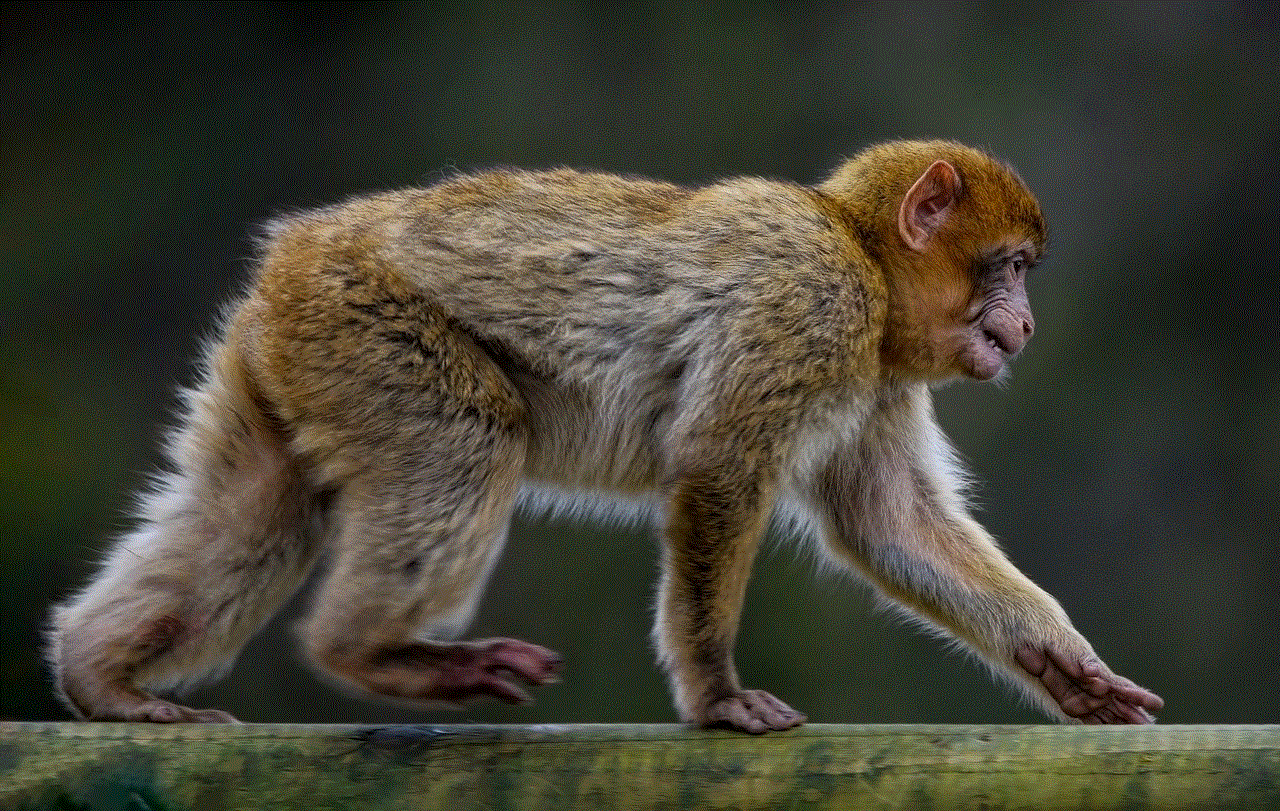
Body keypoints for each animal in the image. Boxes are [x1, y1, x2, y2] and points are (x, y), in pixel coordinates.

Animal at [45, 137, 1167, 726]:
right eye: (1008, 267)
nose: (1026, 321)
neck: (859, 256)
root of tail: (298, 249)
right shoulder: (808, 304)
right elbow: (718, 467)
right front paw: (714, 694)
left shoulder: (879, 376)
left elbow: (888, 521)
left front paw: (1057, 660)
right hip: (362, 322)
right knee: (466, 440)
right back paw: (367, 651)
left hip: (288, 352)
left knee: (254, 506)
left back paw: (104, 678)